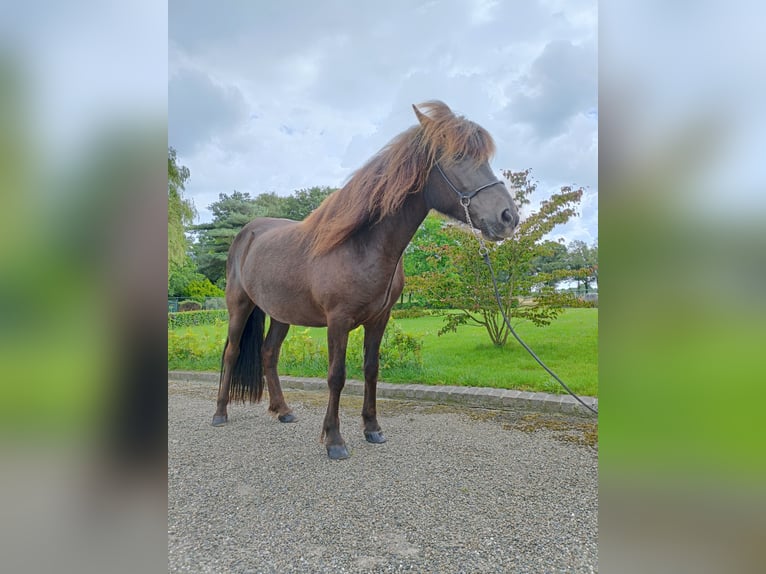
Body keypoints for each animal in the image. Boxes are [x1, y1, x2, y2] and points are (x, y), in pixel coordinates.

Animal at [213, 101, 520, 462]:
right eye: (457, 156)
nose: (508, 217)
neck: (360, 243)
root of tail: (246, 234)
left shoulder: (379, 318)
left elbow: (371, 369)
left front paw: (372, 428)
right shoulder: (338, 320)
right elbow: (336, 376)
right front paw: (334, 440)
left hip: (280, 314)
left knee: (268, 353)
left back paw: (283, 410)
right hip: (240, 306)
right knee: (231, 352)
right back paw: (220, 413)